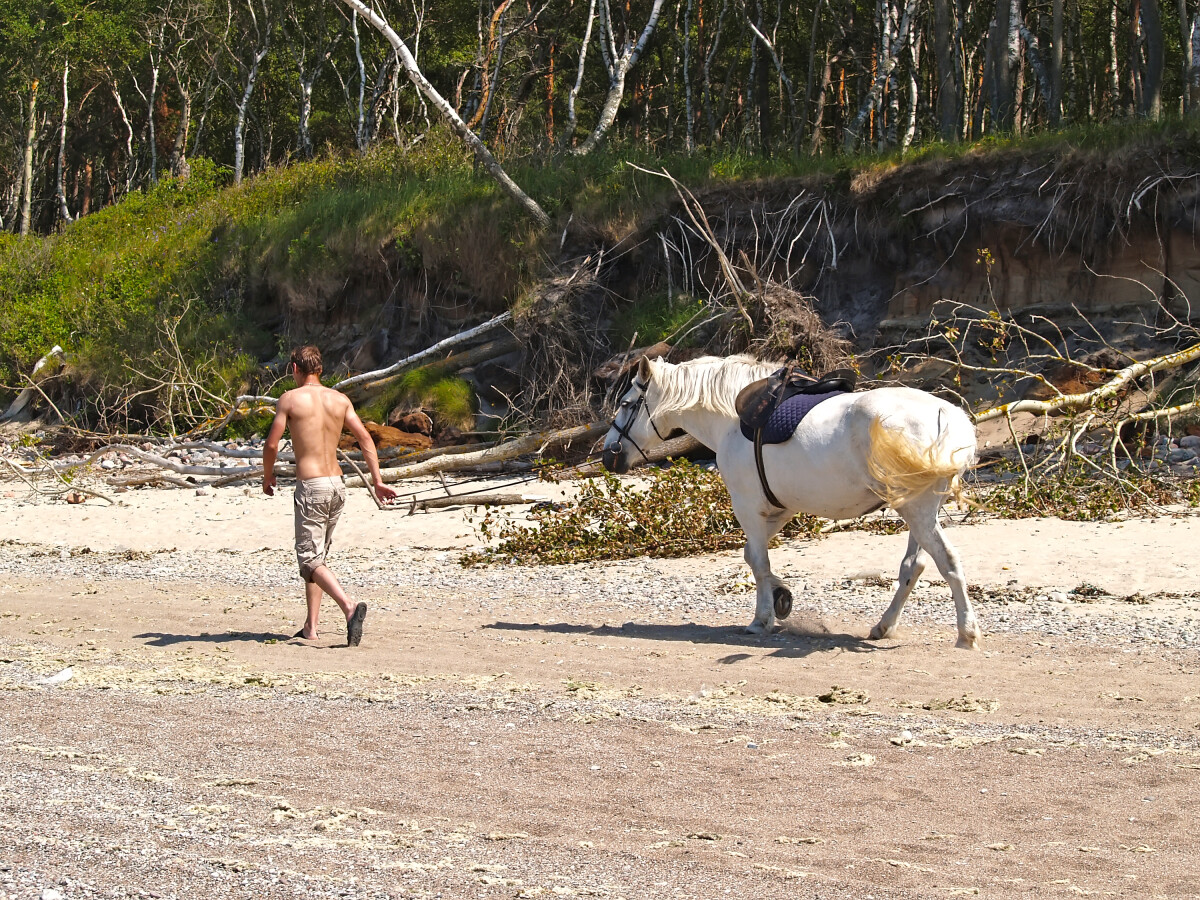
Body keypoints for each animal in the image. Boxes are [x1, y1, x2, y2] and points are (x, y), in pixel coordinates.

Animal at [600, 355, 984, 648]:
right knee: (913, 567)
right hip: (918, 509)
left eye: (626, 404)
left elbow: (757, 561)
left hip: (917, 509)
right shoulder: (779, 509)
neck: (732, 419)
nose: (608, 456)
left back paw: (966, 632)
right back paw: (884, 626)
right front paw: (781, 595)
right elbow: (753, 557)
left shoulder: (747, 507)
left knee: (947, 561)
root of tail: (948, 415)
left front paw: (762, 618)